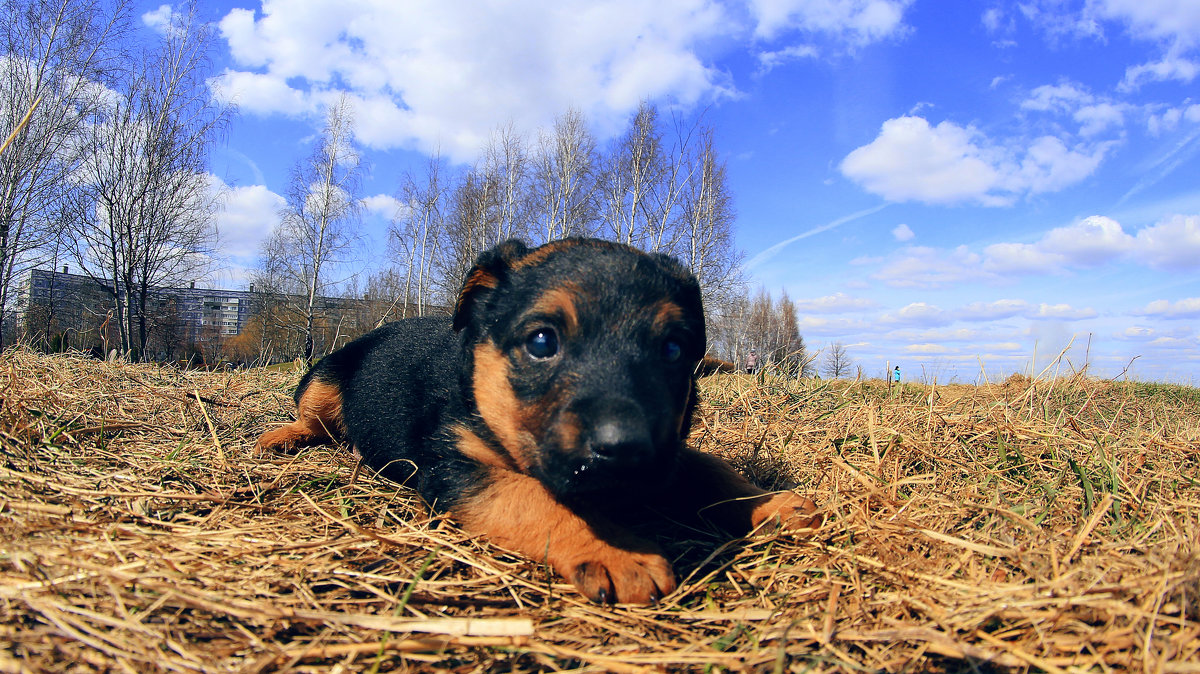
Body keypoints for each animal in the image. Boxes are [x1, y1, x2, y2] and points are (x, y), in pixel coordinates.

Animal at [252, 237, 816, 604]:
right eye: (542, 341)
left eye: (674, 350)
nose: (624, 450)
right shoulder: (457, 466)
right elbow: (535, 498)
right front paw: (618, 550)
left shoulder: (670, 453)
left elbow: (712, 470)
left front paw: (771, 504)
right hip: (324, 375)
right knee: (314, 418)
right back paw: (279, 437)